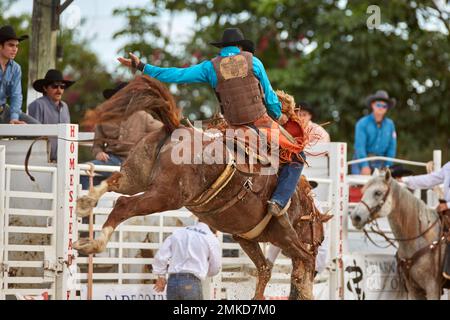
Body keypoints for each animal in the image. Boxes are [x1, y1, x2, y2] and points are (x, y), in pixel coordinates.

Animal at [74, 75, 330, 300]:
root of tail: (175, 128)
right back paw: (94, 243)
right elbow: (302, 262)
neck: (300, 206)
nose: (318, 253)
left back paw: (85, 204)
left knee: (116, 183)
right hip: (165, 196)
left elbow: (265, 268)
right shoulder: (285, 236)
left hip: (136, 176)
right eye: (319, 239)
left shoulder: (245, 238)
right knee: (124, 205)